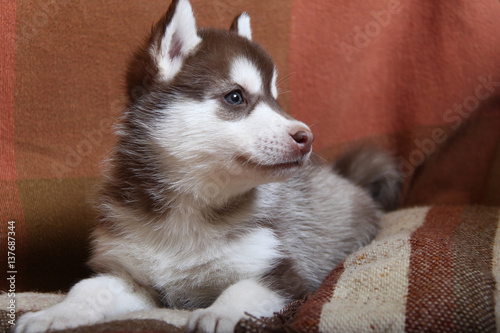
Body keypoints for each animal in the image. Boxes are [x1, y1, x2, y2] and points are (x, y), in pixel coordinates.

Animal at [15, 0, 400, 332]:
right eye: (236, 97)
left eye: (275, 99)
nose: (307, 137)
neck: (190, 208)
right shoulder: (128, 274)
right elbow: (87, 289)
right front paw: (54, 314)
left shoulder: (284, 271)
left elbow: (242, 289)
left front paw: (220, 313)